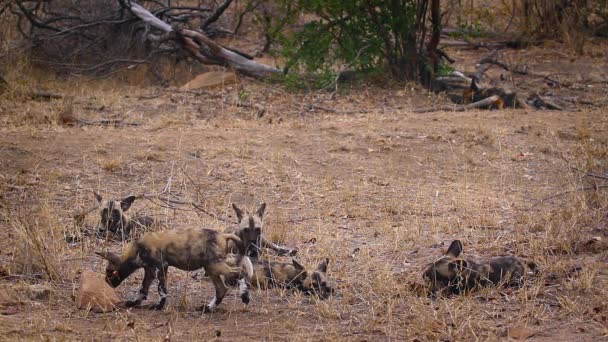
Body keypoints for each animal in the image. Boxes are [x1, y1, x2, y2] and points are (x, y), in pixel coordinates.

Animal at [94, 228, 254, 312]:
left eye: (110, 272)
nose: (106, 283)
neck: (137, 249)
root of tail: (222, 235)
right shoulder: (150, 271)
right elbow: (143, 290)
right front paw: (134, 303)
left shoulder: (160, 267)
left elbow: (162, 290)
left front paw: (159, 306)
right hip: (212, 267)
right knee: (222, 288)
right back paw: (208, 308)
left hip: (214, 266)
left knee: (239, 272)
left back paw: (245, 297)